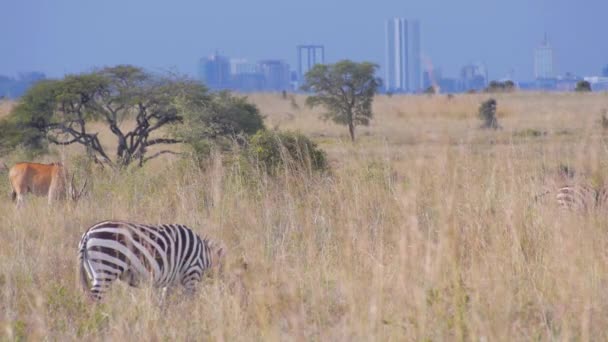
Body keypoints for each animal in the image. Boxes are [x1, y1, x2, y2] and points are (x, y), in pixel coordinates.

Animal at [78, 220, 226, 300]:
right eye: (222, 268)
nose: (223, 289)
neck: (204, 255)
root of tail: (87, 233)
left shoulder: (170, 280)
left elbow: (164, 303)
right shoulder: (192, 274)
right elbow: (190, 301)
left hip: (94, 272)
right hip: (107, 268)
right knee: (94, 300)